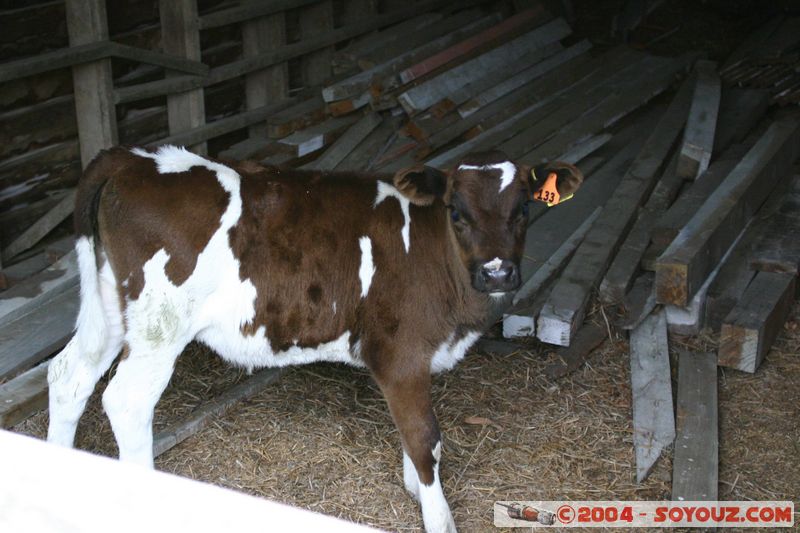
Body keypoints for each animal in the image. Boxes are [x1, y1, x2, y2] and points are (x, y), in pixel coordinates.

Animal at [47, 143, 580, 528]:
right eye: (456, 211)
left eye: (524, 209)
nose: (497, 272)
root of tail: (132, 158)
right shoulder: (401, 353)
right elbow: (425, 436)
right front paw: (438, 517)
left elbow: (415, 436)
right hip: (159, 324)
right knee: (127, 400)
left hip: (110, 308)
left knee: (70, 375)